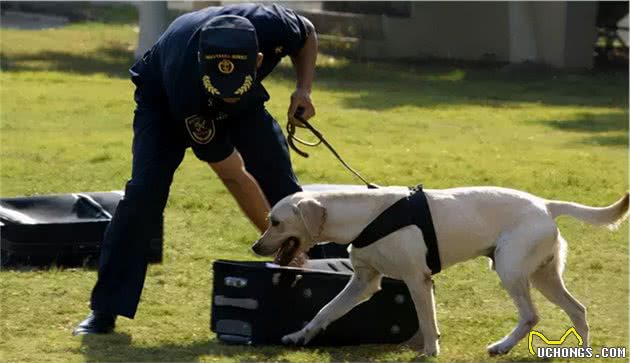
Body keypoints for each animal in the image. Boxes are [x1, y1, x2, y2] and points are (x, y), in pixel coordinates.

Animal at [251, 186, 628, 356]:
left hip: (512, 271)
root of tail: (545, 204)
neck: (366, 217)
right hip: (543, 276)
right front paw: (299, 336)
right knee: (578, 310)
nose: (255, 247)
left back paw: (502, 345)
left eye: (276, 222)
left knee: (532, 315)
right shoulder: (363, 282)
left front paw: (431, 352)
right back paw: (580, 351)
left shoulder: (417, 279)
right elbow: (324, 311)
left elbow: (428, 320)